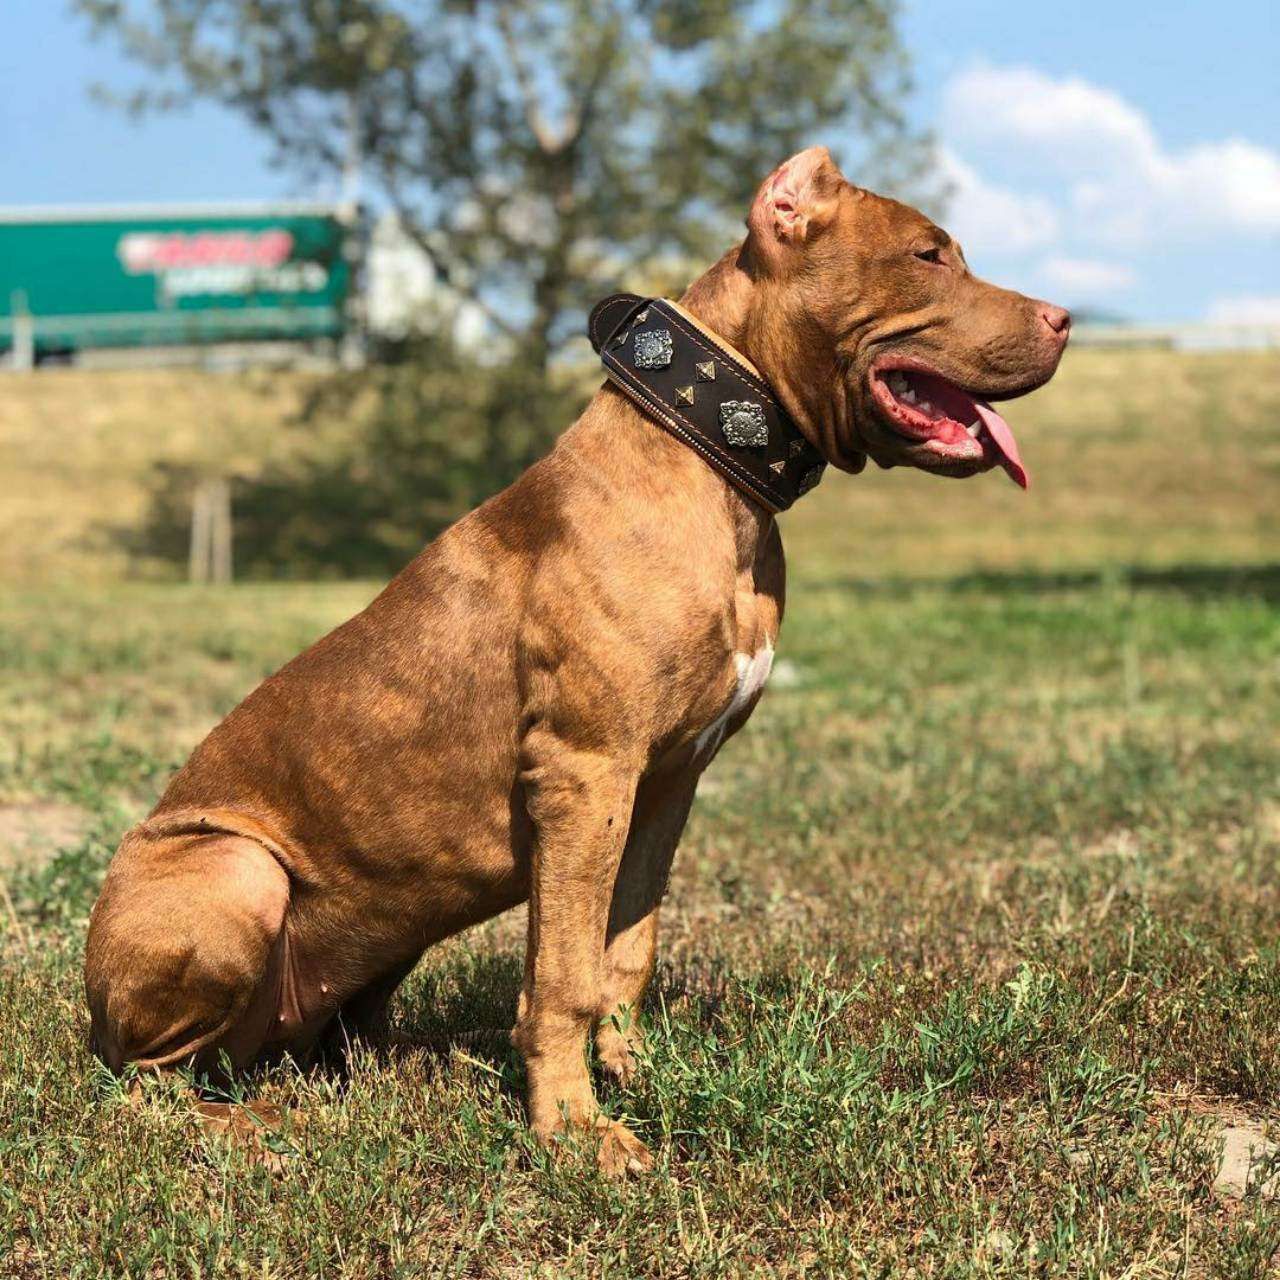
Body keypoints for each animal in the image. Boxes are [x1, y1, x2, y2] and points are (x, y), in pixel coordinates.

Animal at [85, 145, 1070, 1172]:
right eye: (928, 255)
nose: (1065, 320)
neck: (710, 464)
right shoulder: (584, 772)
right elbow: (562, 974)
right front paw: (574, 1129)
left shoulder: (666, 782)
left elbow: (623, 950)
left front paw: (636, 1072)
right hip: (238, 871)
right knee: (143, 1086)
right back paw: (253, 1123)